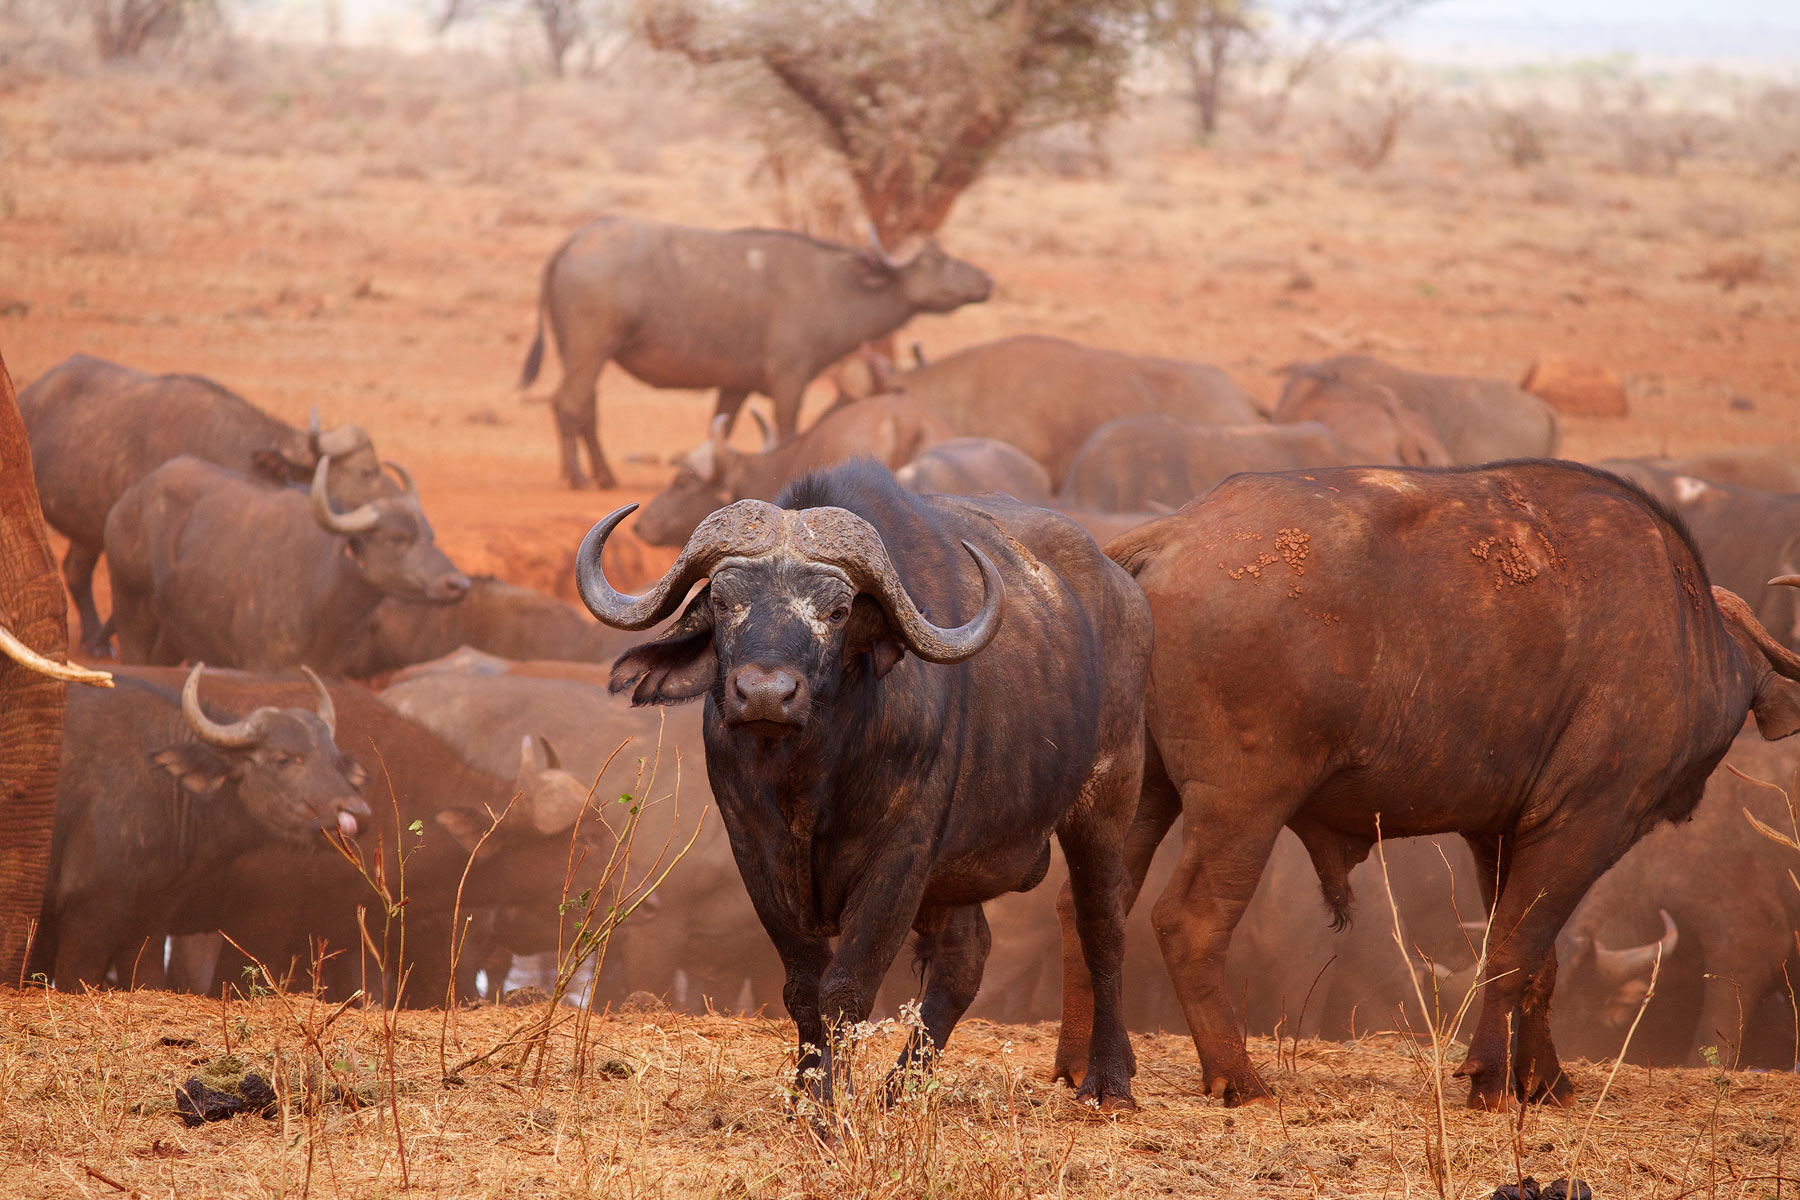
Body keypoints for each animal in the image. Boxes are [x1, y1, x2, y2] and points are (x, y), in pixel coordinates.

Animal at [31, 664, 369, 988]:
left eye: (334, 761)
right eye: (282, 759)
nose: (359, 813)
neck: (165, 783)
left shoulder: (150, 921)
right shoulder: (88, 911)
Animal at [105, 455, 469, 676]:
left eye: (430, 536)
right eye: (397, 538)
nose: (458, 584)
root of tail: (128, 501)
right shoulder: (259, 666)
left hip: (173, 634)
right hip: (131, 608)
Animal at [519, 217, 991, 488]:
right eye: (935, 259)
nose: (985, 280)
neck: (836, 288)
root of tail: (577, 239)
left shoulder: (735, 385)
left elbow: (720, 428)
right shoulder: (790, 379)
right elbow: (786, 429)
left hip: (583, 355)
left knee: (585, 407)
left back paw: (605, 475)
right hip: (589, 350)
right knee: (569, 403)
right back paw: (579, 477)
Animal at [577, 461, 1153, 1108]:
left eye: (837, 611)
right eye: (724, 602)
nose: (765, 694)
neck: (811, 778)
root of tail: (1124, 592)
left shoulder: (900, 857)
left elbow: (846, 987)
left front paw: (831, 1103)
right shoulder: (755, 852)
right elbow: (803, 986)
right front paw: (808, 1092)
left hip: (1107, 796)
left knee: (1102, 923)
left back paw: (1109, 1080)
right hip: (956, 875)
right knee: (966, 957)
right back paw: (900, 1090)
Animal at [1098, 461, 1800, 1109]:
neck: (1687, 632)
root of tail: (1173, 534)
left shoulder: (1499, 833)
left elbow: (1536, 960)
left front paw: (1543, 1081)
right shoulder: (1582, 825)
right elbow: (1516, 949)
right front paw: (1490, 1080)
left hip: (1145, 795)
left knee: (1102, 904)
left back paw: (1095, 1071)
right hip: (1243, 805)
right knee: (1189, 921)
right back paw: (1238, 1079)